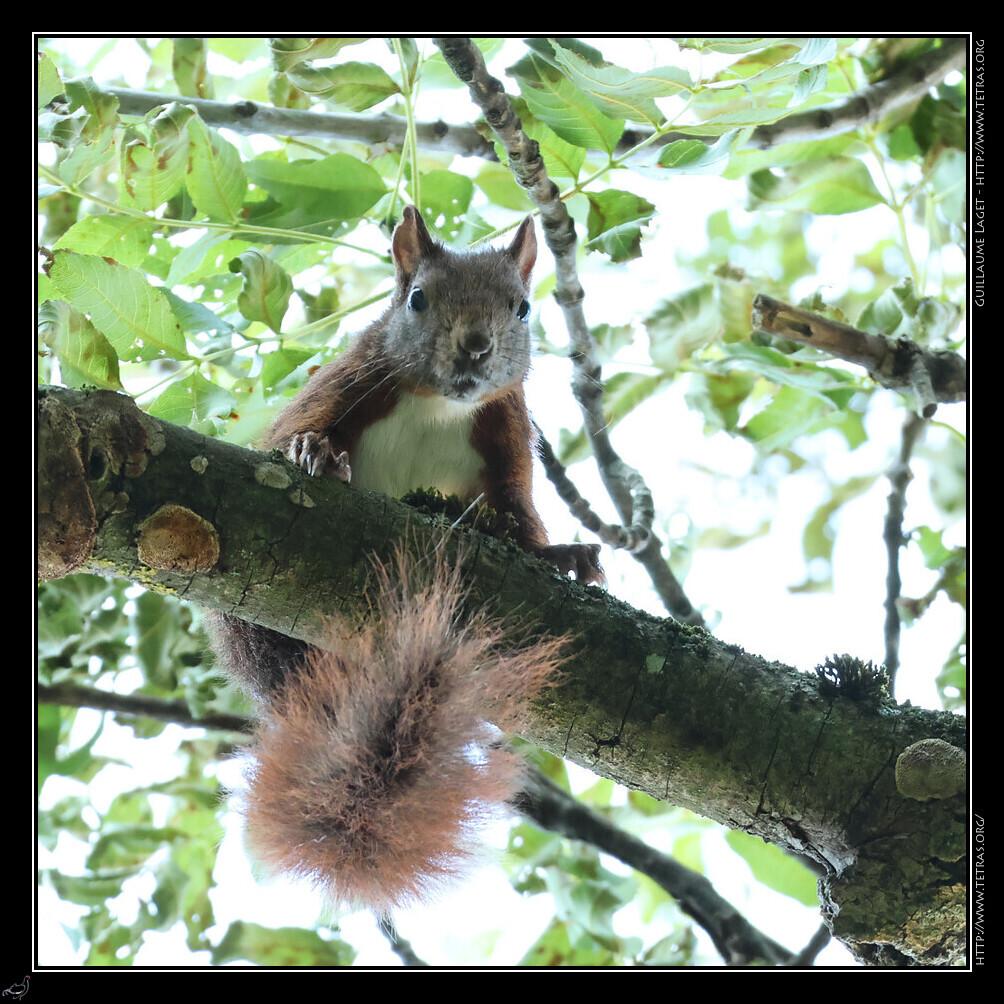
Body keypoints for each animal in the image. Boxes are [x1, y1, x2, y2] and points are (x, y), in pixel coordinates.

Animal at [208, 206, 603, 911]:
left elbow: (521, 518)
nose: (475, 345)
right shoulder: (345, 380)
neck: (438, 404)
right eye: (417, 298)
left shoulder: (507, 434)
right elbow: (288, 437)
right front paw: (313, 453)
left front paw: (560, 552)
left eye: (523, 308)